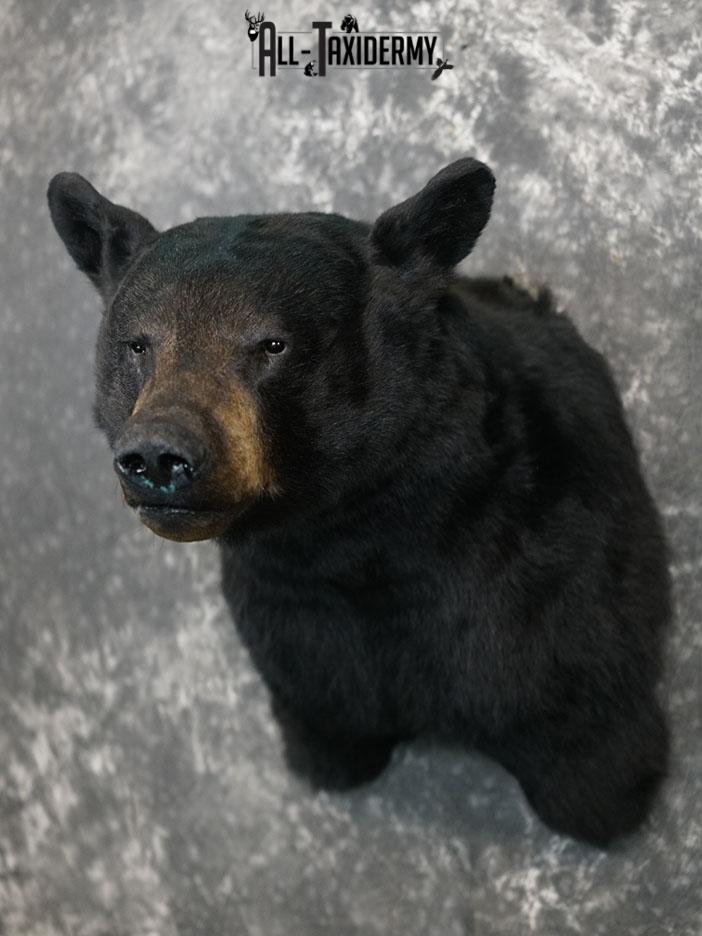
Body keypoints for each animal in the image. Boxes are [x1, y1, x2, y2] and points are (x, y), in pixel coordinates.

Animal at [47, 158, 671, 847]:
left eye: (272, 344)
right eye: (139, 344)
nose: (159, 455)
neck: (354, 538)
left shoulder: (542, 591)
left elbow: (584, 733)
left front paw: (609, 789)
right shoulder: (296, 627)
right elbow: (326, 722)